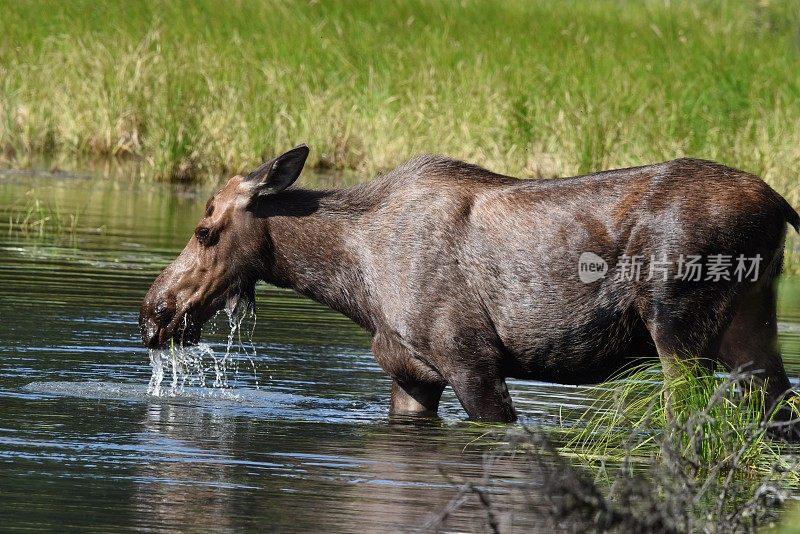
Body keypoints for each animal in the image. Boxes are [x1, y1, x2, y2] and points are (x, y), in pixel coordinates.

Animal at [141, 146, 800, 436]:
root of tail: (780, 204)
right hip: (751, 326)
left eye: (204, 231)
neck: (351, 280)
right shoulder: (412, 372)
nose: (153, 314)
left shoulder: (471, 360)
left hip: (677, 325)